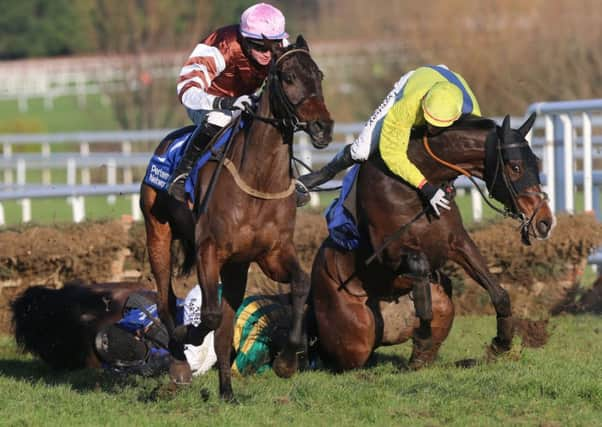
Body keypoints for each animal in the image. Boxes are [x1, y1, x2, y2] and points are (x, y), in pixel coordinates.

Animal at [139, 35, 332, 400]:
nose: (323, 128)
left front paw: (287, 362)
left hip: (237, 267)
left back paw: (226, 391)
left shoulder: (273, 252)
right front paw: (189, 335)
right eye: (288, 77)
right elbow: (210, 316)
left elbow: (301, 284)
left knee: (226, 327)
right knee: (166, 302)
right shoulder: (208, 250)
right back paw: (179, 362)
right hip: (157, 234)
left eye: (319, 75)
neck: (259, 180)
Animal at [314, 113, 552, 372]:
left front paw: (502, 342)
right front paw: (424, 336)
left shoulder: (457, 242)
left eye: (537, 162)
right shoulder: (388, 253)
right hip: (355, 339)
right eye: (516, 167)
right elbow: (419, 267)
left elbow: (498, 292)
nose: (545, 221)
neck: (411, 185)